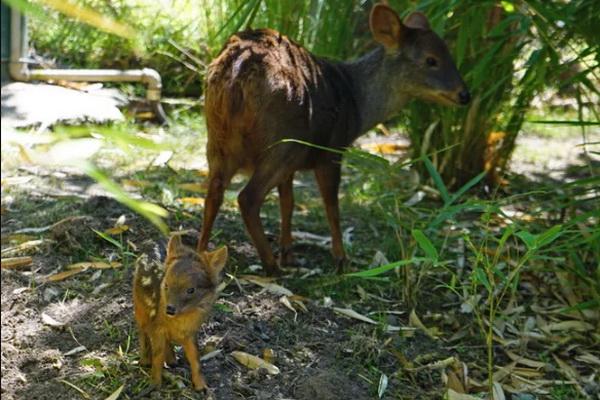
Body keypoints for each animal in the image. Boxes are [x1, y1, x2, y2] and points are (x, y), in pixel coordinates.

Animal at [199, 2, 472, 276]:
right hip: (283, 141)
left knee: (214, 191)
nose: (464, 95)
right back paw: (271, 266)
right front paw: (341, 259)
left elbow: (288, 202)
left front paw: (289, 253)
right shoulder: (331, 150)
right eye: (431, 60)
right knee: (247, 198)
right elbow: (332, 207)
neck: (356, 101)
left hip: (219, 138)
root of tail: (238, 71)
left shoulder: (295, 166)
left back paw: (202, 253)